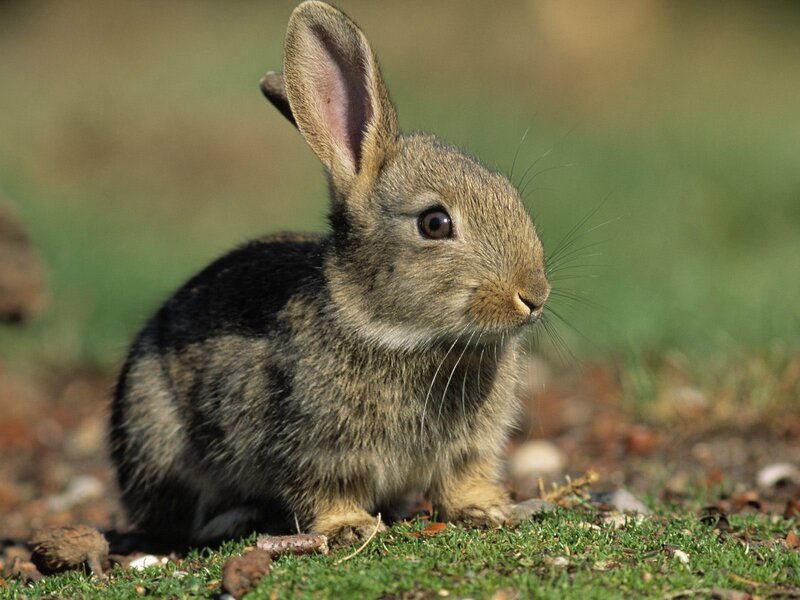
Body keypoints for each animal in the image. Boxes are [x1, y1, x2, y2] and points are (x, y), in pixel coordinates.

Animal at [110, 0, 550, 547]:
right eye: (434, 223)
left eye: (509, 193)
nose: (533, 296)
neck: (402, 335)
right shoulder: (310, 447)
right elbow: (324, 491)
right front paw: (350, 528)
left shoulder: (470, 448)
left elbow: (464, 476)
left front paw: (486, 509)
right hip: (155, 429)